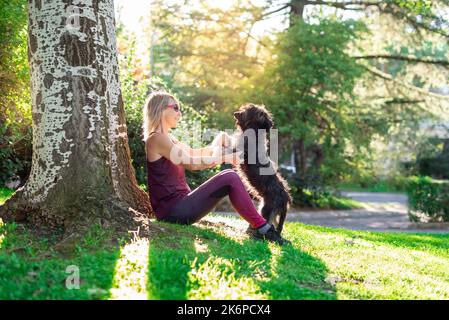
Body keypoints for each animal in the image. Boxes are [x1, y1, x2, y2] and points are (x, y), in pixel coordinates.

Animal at [215, 104, 292, 234]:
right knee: (276, 225)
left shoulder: (237, 152)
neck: (254, 132)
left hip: (266, 209)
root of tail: (285, 199)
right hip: (272, 212)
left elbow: (227, 145)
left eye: (246, 110)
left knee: (267, 222)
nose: (235, 113)